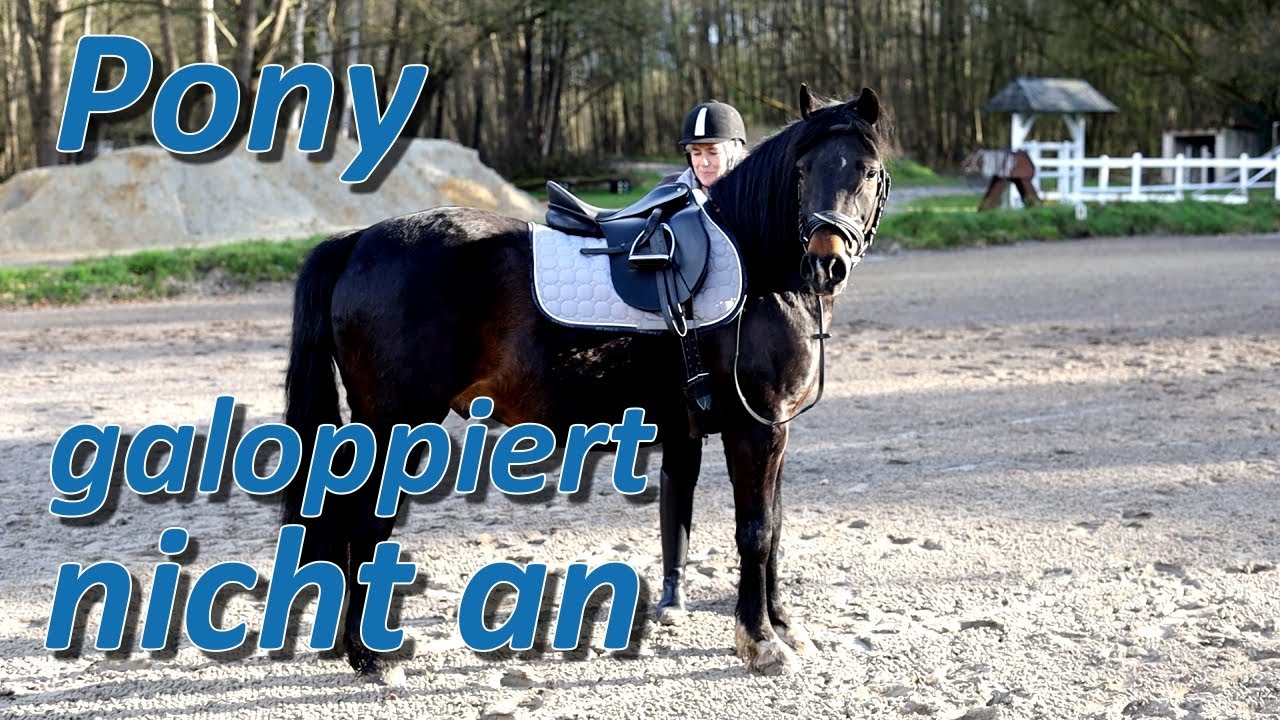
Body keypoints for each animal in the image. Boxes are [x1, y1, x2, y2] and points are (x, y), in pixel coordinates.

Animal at [281, 84, 890, 679]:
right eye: (803, 170)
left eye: (867, 170)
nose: (825, 263)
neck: (754, 263)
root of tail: (356, 241)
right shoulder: (754, 428)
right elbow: (756, 531)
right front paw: (761, 643)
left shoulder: (773, 430)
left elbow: (777, 528)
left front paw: (783, 627)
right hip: (395, 424)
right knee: (364, 521)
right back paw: (371, 658)